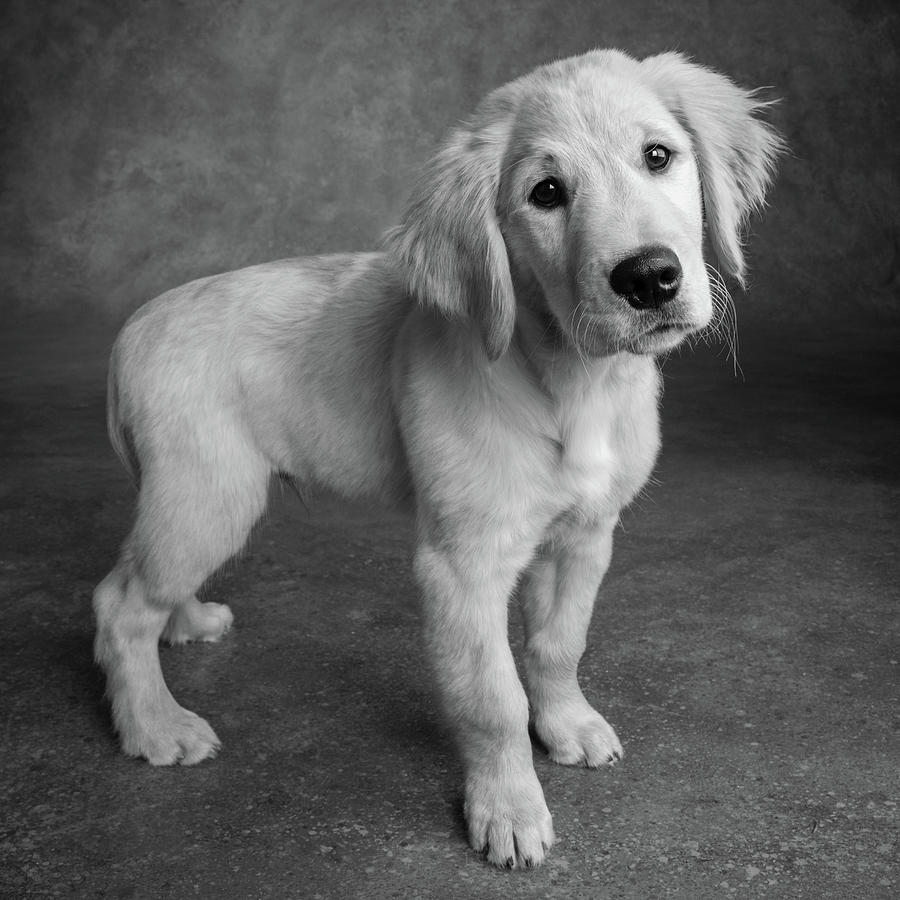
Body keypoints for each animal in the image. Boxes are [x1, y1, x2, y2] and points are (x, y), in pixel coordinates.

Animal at [93, 47, 780, 864]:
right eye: (547, 193)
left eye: (658, 156)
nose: (649, 276)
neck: (569, 381)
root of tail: (133, 328)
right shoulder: (462, 564)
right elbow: (491, 698)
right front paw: (508, 808)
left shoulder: (585, 536)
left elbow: (558, 645)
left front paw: (568, 725)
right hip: (208, 493)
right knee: (120, 603)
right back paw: (154, 726)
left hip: (196, 500)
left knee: (148, 583)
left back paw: (189, 621)